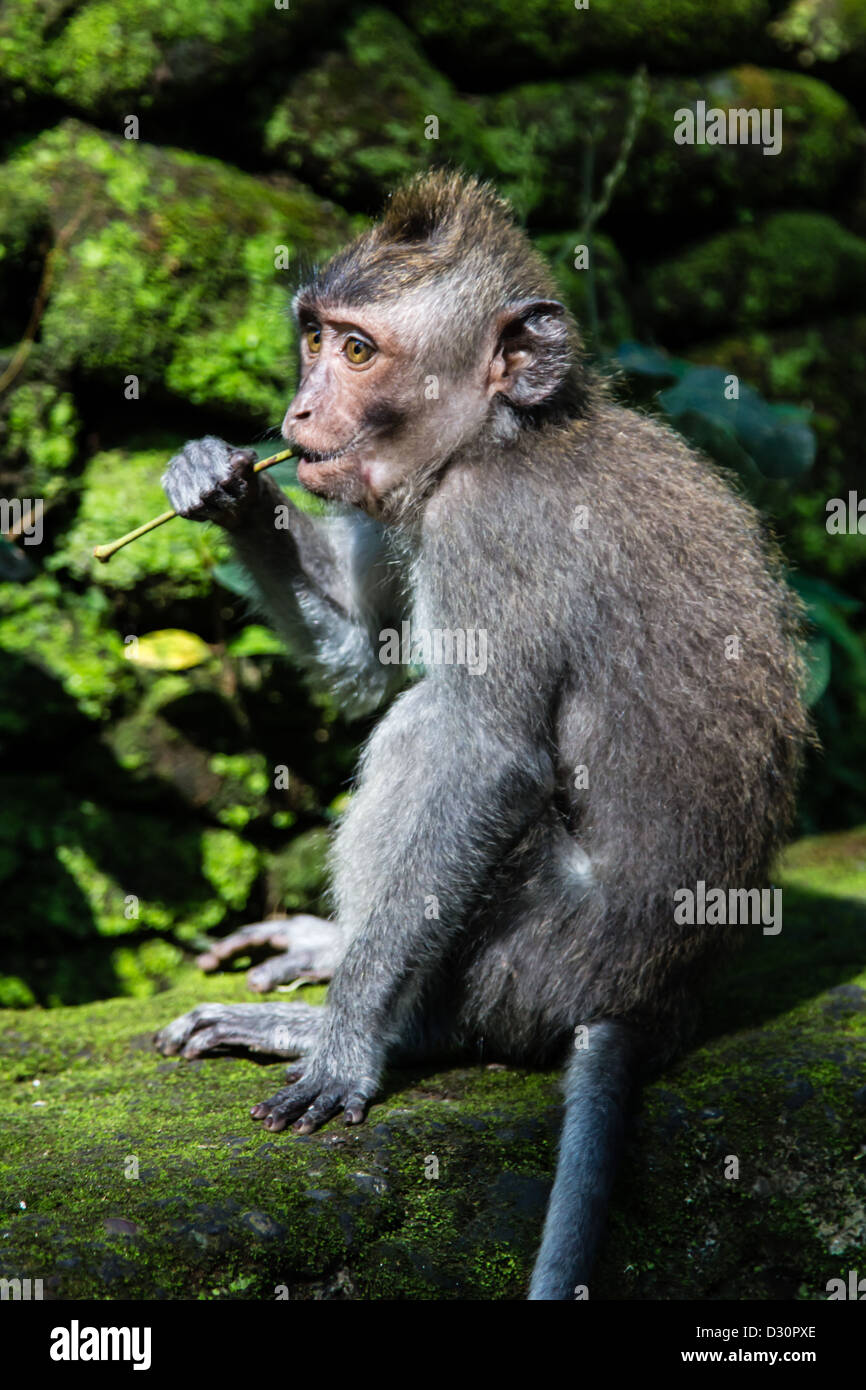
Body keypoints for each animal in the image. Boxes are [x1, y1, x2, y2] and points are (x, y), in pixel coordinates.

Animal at [154, 173, 806, 1301]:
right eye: (313, 337)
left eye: (359, 351)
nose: (297, 413)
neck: (502, 435)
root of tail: (644, 1003)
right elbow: (368, 652)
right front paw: (224, 484)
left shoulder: (489, 527)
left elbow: (483, 755)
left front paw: (344, 1049)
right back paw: (328, 949)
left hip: (536, 954)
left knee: (432, 728)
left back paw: (383, 1025)